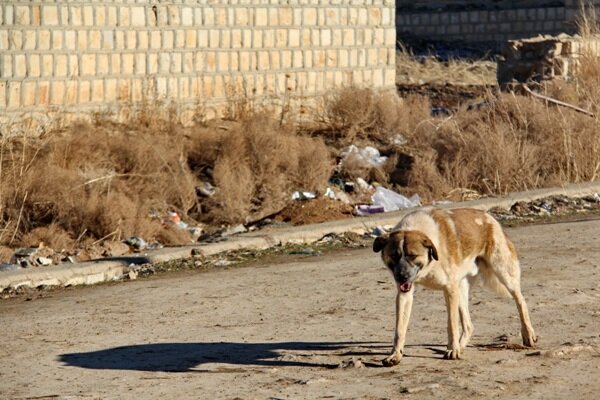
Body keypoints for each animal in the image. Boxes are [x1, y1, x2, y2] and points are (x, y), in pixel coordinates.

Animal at [372, 208, 536, 368]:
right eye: (394, 256)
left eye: (412, 255)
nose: (402, 277)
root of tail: (489, 217)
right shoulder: (405, 295)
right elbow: (399, 329)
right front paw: (395, 355)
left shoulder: (449, 290)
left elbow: (451, 325)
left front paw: (452, 349)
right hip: (461, 290)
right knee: (469, 326)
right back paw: (461, 347)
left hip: (504, 273)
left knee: (521, 301)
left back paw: (528, 334)